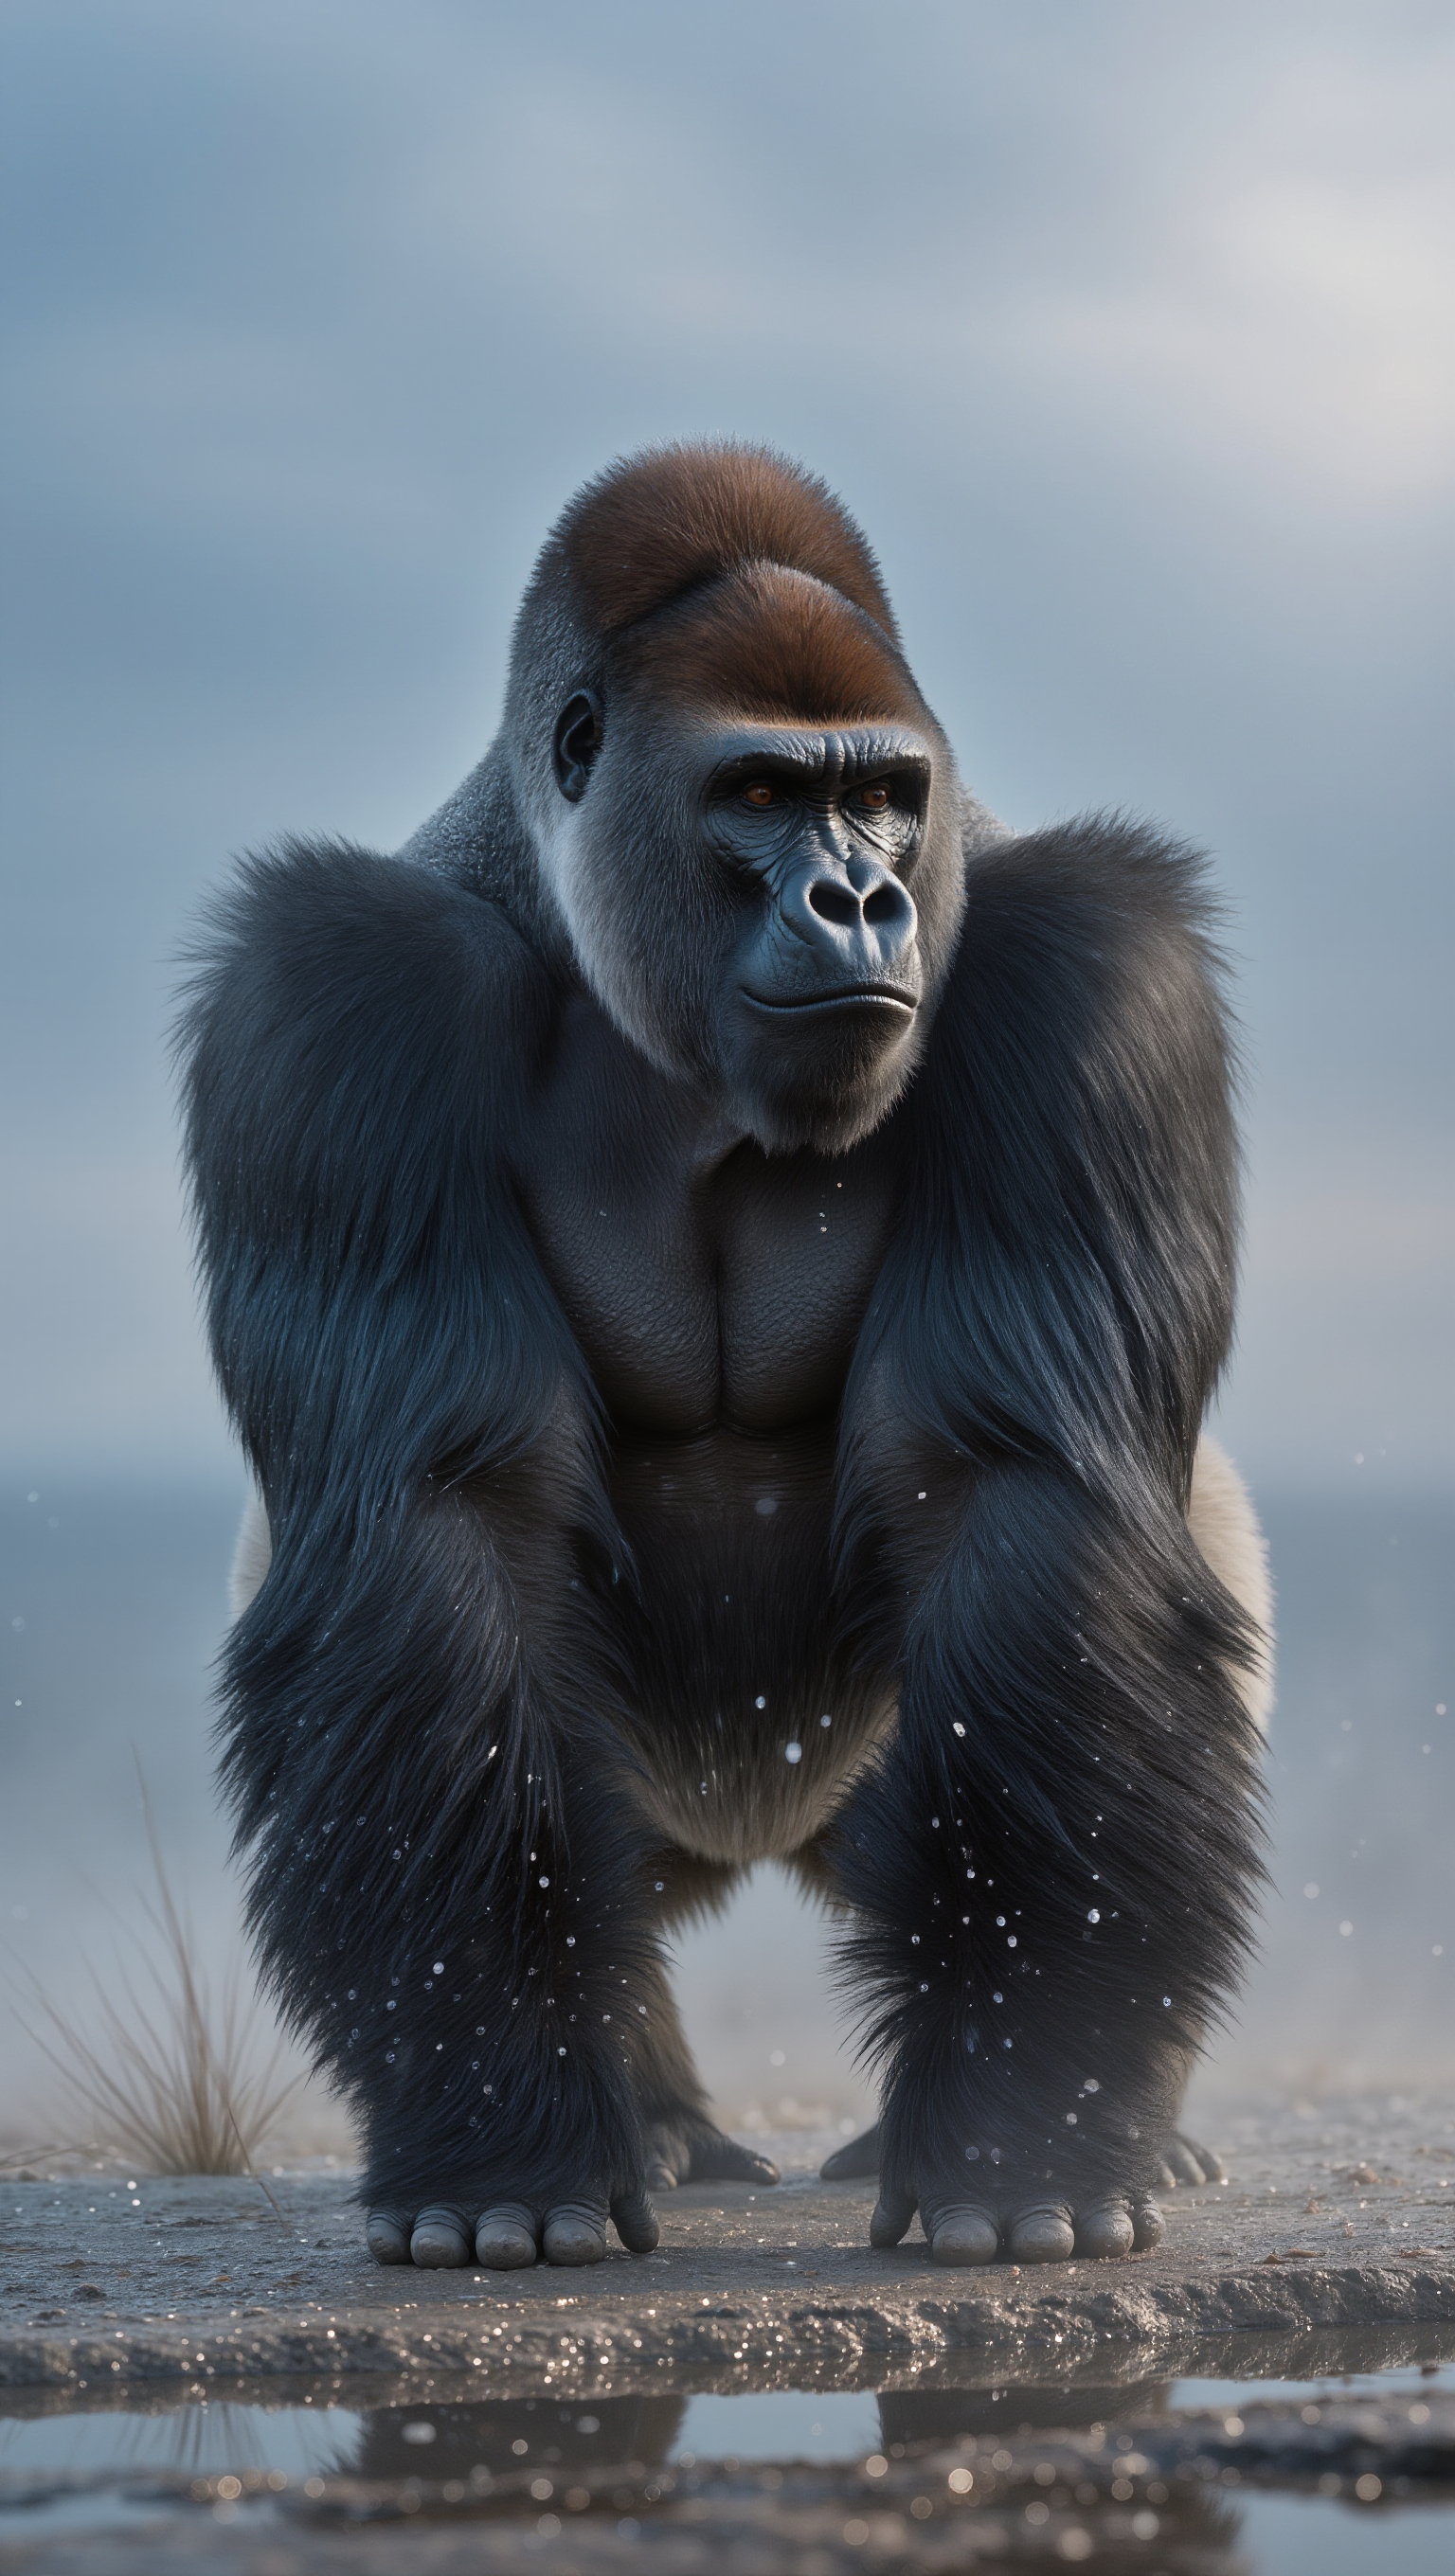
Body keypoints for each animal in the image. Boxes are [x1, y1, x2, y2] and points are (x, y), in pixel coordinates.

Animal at [181, 441, 1271, 2274]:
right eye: (756, 796)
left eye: (885, 796)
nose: (862, 898)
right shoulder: (336, 996)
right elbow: (440, 1522)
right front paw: (505, 2147)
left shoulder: (1092, 967)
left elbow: (1025, 1490)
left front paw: (1023, 2123)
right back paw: (667, 2124)